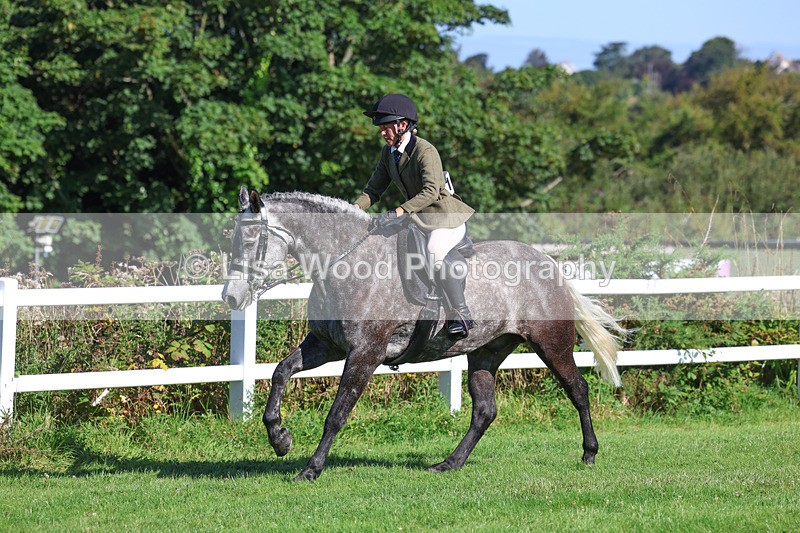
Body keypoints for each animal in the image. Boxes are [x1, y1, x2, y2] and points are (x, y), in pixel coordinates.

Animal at [221, 187, 625, 481]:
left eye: (249, 242)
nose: (231, 297)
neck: (345, 264)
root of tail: (549, 263)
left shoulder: (365, 353)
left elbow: (337, 413)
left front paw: (311, 469)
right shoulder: (326, 346)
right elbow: (280, 372)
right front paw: (280, 439)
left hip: (550, 344)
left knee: (578, 390)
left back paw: (589, 453)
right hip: (486, 351)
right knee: (484, 410)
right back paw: (449, 464)